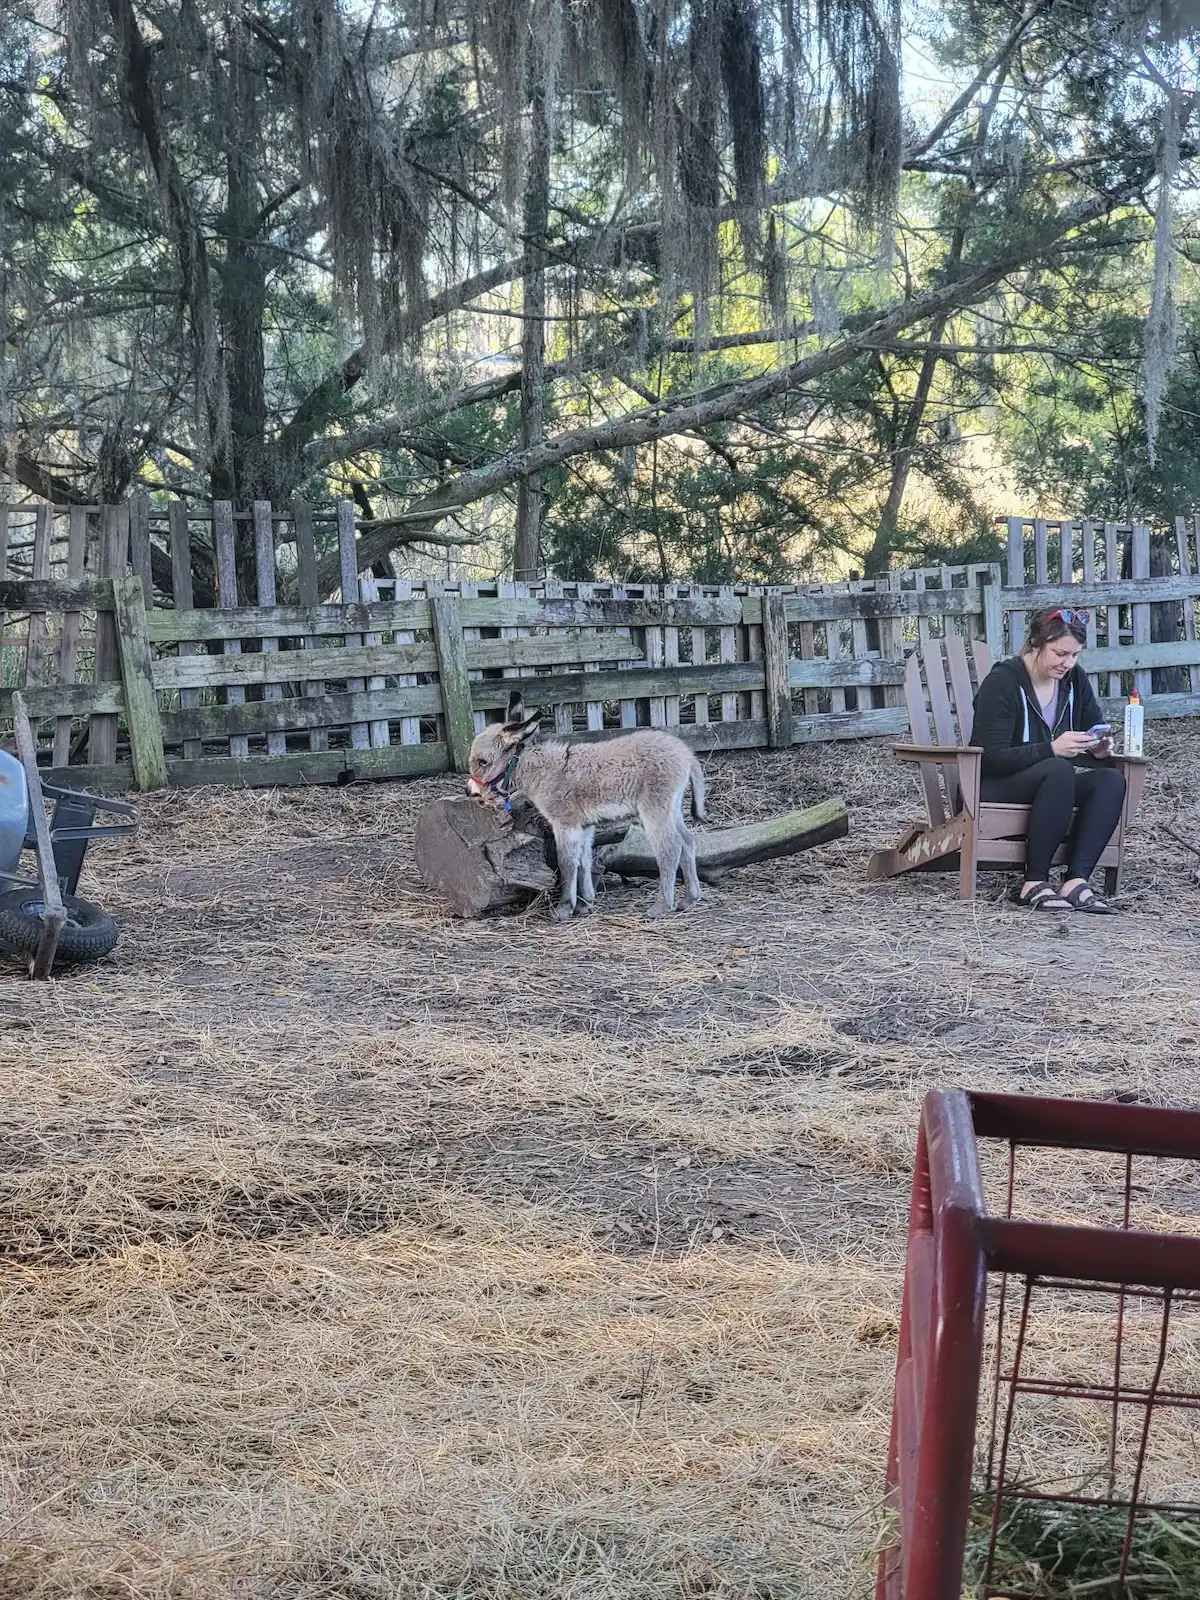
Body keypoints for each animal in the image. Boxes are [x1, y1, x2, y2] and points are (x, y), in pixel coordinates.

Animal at [466, 693, 708, 921]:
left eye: (483, 762)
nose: (470, 792)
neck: (542, 771)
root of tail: (686, 753)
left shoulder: (565, 823)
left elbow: (567, 863)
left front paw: (564, 908)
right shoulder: (584, 825)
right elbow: (584, 861)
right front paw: (584, 904)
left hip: (654, 809)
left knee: (670, 848)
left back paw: (662, 906)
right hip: (672, 807)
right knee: (687, 840)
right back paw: (690, 898)